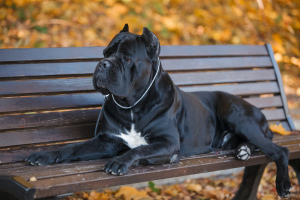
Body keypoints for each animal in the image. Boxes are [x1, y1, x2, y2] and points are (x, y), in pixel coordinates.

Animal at [27, 24, 290, 197]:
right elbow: (72, 148)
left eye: (126, 58)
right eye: (105, 53)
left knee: (280, 150)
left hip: (236, 115)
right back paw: (243, 150)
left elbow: (139, 149)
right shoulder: (106, 140)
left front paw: (120, 162)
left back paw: (283, 184)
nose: (103, 64)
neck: (132, 105)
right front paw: (44, 155)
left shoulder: (167, 142)